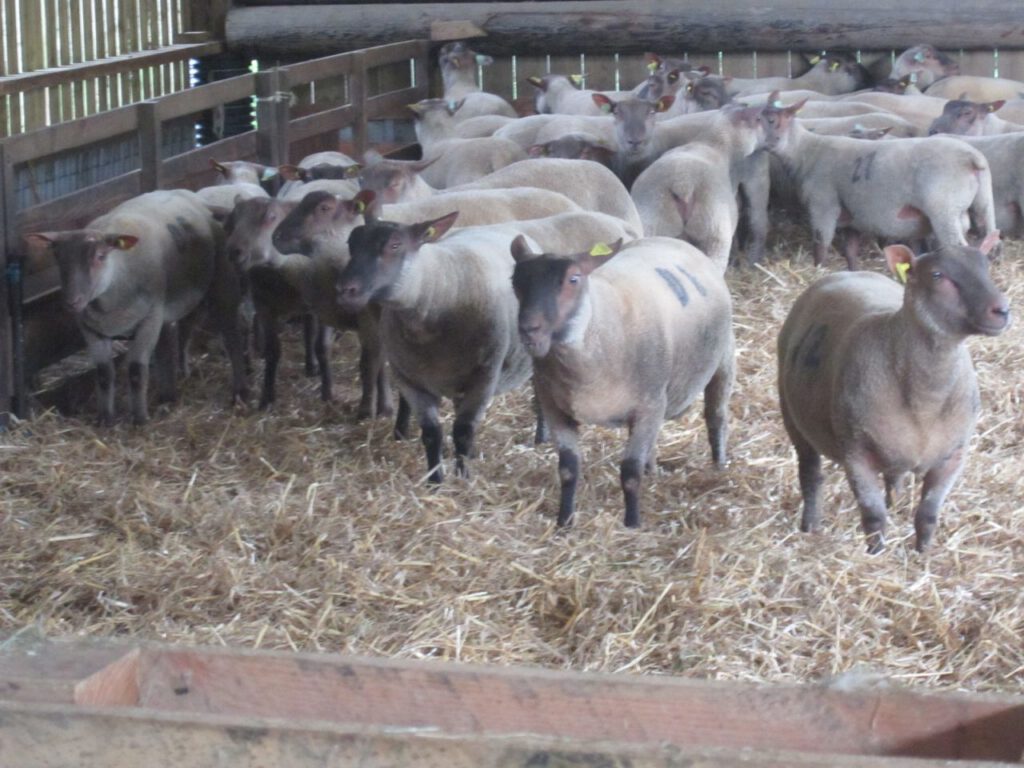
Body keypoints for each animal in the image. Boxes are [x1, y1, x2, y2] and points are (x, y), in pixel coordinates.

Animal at [24, 188, 247, 423]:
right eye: (58, 258)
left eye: (100, 256)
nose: (72, 301)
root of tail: (191, 195)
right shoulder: (91, 329)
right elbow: (103, 373)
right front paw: (105, 418)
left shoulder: (148, 321)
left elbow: (136, 371)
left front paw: (139, 419)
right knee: (182, 333)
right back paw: (176, 382)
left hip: (222, 284)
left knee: (232, 338)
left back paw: (239, 390)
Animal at [335, 211, 536, 481]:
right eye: (350, 244)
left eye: (395, 245)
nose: (345, 290)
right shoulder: (410, 378)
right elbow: (432, 433)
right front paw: (435, 480)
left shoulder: (484, 376)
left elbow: (463, 430)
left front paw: (463, 478)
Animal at [512, 237, 737, 528]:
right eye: (516, 281)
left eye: (574, 279)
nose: (529, 329)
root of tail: (672, 239)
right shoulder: (554, 408)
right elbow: (568, 469)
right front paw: (565, 520)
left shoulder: (649, 404)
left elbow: (630, 473)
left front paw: (632, 523)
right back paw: (651, 468)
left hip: (723, 358)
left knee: (716, 416)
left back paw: (718, 465)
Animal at [761, 93, 991, 268]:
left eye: (771, 120)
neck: (807, 151)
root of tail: (972, 157)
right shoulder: (852, 217)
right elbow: (850, 251)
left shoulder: (823, 206)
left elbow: (821, 245)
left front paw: (818, 270)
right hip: (965, 209)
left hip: (943, 210)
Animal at [778, 234, 1011, 552]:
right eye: (937, 275)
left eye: (986, 267)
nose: (1002, 310)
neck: (926, 401)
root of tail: (846, 273)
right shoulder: (856, 453)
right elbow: (873, 515)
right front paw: (875, 553)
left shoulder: (953, 454)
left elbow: (928, 513)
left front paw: (923, 552)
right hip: (792, 415)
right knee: (810, 473)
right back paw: (810, 525)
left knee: (893, 476)